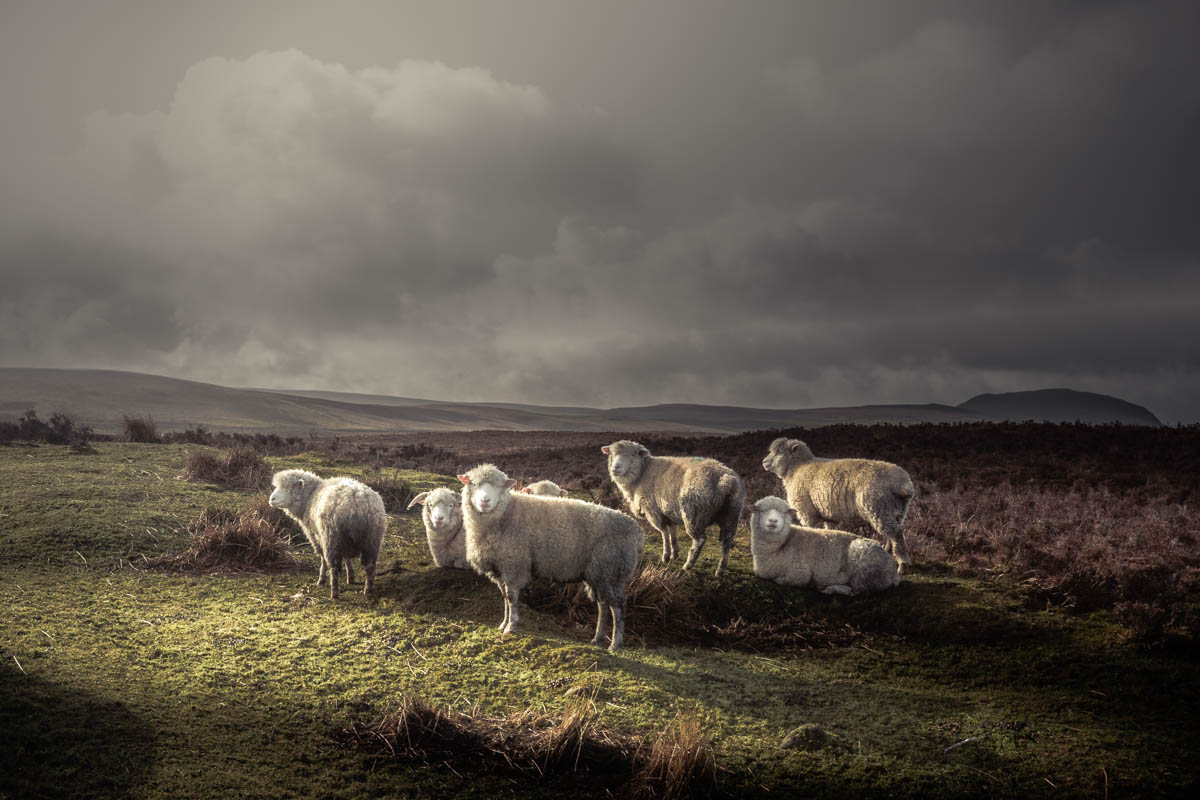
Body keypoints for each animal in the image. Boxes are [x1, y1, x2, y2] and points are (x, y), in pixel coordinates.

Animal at [270, 470, 386, 599]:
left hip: (331, 537)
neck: (310, 496)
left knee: (333, 566)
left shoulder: (316, 536)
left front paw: (321, 579)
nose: (271, 499)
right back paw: (368, 589)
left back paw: (334, 593)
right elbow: (346, 558)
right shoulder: (344, 543)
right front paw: (350, 576)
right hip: (372, 539)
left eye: (288, 487)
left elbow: (322, 558)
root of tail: (356, 502)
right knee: (370, 565)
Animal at [458, 462, 648, 652]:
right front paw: (503, 623)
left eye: (500, 486)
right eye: (473, 483)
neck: (506, 513)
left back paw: (615, 643)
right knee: (603, 606)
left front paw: (511, 626)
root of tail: (637, 532)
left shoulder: (514, 565)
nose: (485, 501)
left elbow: (511, 598)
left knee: (618, 606)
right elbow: (504, 597)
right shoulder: (499, 568)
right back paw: (598, 638)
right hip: (598, 573)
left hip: (612, 570)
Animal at [604, 441, 744, 578]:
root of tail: (726, 481)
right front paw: (674, 554)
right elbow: (672, 533)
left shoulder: (653, 511)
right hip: (731, 514)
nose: (615, 467)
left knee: (700, 540)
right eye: (611, 453)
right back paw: (720, 570)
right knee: (727, 541)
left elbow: (664, 533)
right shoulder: (669, 511)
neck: (642, 473)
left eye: (633, 454)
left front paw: (666, 556)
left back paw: (688, 565)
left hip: (694, 514)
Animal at [748, 494, 902, 594]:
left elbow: (786, 580)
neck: (781, 545)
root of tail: (894, 572)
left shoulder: (800, 573)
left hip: (864, 568)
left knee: (857, 590)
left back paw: (831, 589)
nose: (773, 521)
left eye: (784, 512)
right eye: (761, 510)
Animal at [758, 438, 916, 575]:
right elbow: (830, 531)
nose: (764, 462)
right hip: (896, 511)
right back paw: (887, 551)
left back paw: (902, 565)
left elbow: (810, 529)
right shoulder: (828, 514)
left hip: (877, 507)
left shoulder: (806, 511)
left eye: (779, 452)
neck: (797, 468)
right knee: (893, 532)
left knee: (896, 534)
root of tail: (903, 484)